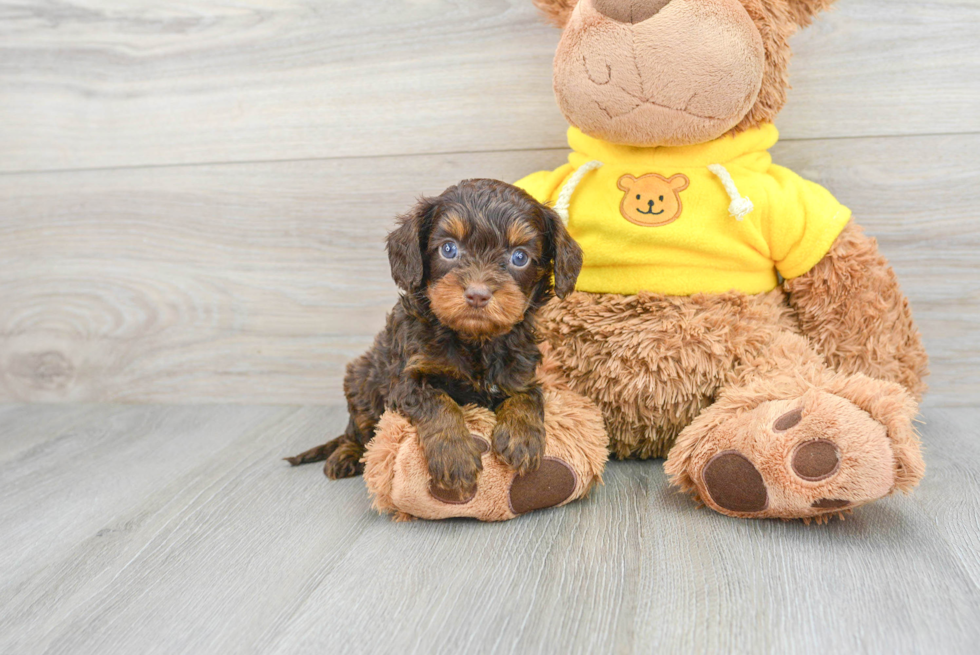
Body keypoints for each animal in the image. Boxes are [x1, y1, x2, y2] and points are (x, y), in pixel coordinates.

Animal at [290, 177, 580, 500]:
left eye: (519, 257)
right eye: (449, 249)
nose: (477, 294)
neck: (474, 340)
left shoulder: (519, 372)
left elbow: (528, 396)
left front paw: (522, 437)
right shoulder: (407, 379)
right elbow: (439, 403)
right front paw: (455, 456)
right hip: (361, 379)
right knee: (359, 429)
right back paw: (345, 454)